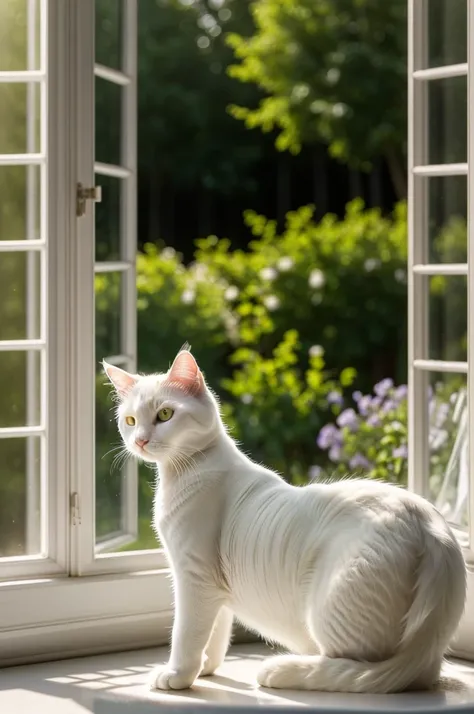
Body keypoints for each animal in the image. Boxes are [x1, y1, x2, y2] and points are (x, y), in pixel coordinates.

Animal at [104, 348, 466, 692]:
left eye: (165, 414)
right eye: (131, 420)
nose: (140, 440)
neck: (190, 470)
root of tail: (430, 529)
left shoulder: (195, 578)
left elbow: (187, 634)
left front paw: (178, 675)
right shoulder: (215, 588)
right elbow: (217, 632)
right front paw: (205, 669)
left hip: (331, 613)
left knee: (357, 668)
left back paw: (283, 669)